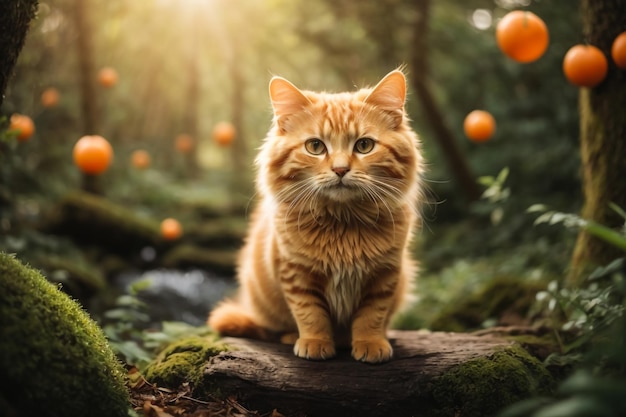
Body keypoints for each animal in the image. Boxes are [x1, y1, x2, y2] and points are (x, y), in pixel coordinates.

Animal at [207, 68, 422, 360]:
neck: (343, 223)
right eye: (316, 147)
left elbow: (372, 316)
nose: (341, 169)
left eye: (364, 145)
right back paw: (292, 337)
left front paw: (370, 344)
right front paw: (316, 343)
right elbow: (311, 314)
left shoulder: (385, 274)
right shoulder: (296, 273)